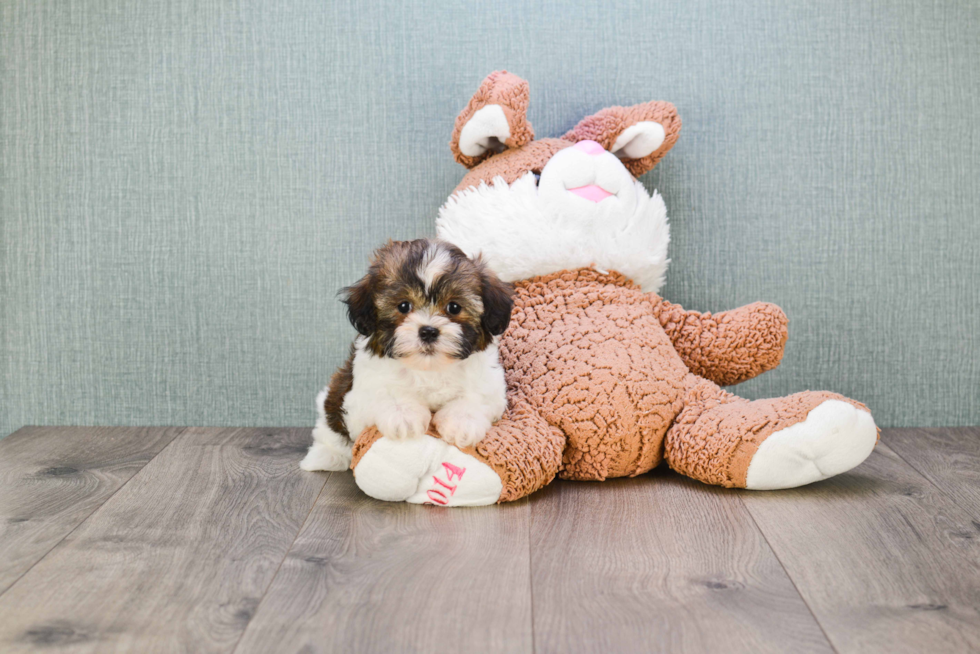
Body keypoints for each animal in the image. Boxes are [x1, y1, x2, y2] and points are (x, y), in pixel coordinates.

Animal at [298, 238, 512, 474]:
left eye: (454, 307)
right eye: (403, 306)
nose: (428, 331)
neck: (429, 368)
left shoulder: (489, 383)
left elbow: (476, 396)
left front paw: (461, 423)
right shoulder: (358, 397)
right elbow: (385, 392)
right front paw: (403, 416)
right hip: (331, 398)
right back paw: (325, 456)